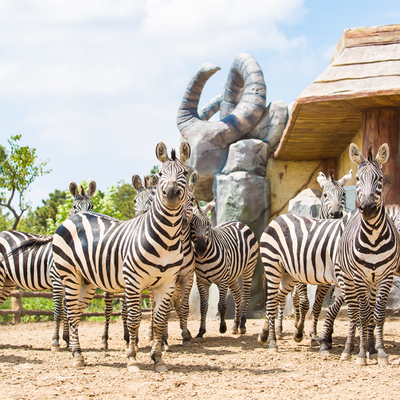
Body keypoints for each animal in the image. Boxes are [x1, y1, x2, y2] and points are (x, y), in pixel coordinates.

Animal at [0, 181, 96, 350]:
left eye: (91, 206)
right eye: (74, 207)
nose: (85, 223)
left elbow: (68, 310)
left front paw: (67, 340)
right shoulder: (57, 281)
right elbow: (58, 312)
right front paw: (56, 342)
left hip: (7, 281)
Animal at [52, 141, 192, 372]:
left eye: (185, 173)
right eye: (160, 173)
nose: (171, 193)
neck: (167, 237)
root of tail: (75, 217)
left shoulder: (167, 283)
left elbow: (159, 320)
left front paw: (158, 359)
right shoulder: (134, 281)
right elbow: (134, 318)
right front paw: (132, 358)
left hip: (86, 282)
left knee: (77, 312)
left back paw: (75, 350)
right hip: (69, 275)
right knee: (70, 311)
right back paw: (77, 356)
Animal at [191, 198, 260, 340]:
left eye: (208, 224)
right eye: (192, 224)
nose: (201, 249)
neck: (205, 259)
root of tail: (239, 222)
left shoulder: (222, 280)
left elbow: (221, 305)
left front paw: (222, 328)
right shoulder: (202, 281)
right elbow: (203, 307)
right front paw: (201, 331)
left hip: (248, 269)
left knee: (246, 294)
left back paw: (242, 324)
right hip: (232, 275)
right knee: (238, 295)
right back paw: (235, 325)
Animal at [276, 169, 352, 344]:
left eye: (344, 194)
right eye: (325, 195)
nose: (336, 214)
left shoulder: (325, 281)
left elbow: (317, 305)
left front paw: (314, 333)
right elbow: (305, 302)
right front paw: (298, 332)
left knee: (295, 297)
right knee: (283, 298)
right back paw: (280, 330)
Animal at [332, 144, 400, 366]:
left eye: (380, 178)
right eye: (358, 179)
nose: (368, 208)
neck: (373, 238)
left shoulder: (386, 277)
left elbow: (378, 315)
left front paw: (381, 352)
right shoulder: (359, 277)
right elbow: (362, 315)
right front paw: (361, 354)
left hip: (373, 281)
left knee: (370, 311)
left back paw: (370, 346)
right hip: (347, 279)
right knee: (354, 313)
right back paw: (350, 349)